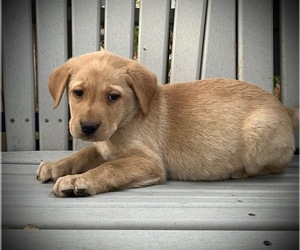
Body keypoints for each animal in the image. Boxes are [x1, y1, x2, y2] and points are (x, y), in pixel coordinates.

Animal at [36, 50, 298, 197]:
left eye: (113, 96)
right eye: (78, 93)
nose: (88, 127)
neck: (127, 119)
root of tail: (283, 107)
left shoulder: (149, 162)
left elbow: (110, 168)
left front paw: (78, 180)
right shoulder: (105, 148)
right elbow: (85, 154)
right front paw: (56, 165)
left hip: (258, 132)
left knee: (275, 166)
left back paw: (238, 172)